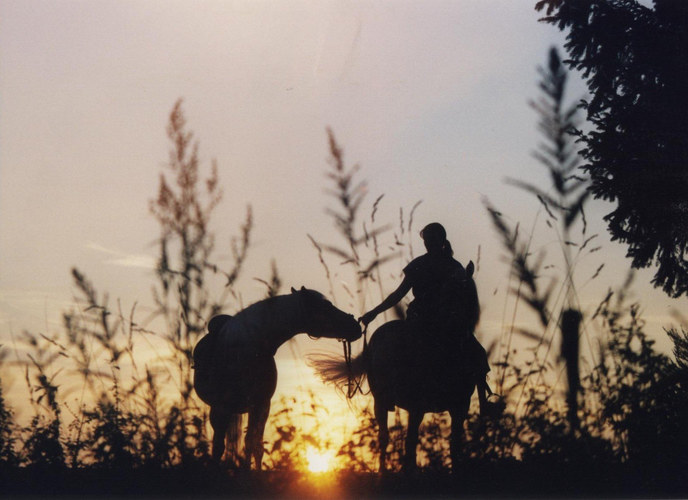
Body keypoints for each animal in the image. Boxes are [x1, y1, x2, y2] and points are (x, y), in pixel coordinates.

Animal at [191, 288, 358, 466]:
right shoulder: (221, 407)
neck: (244, 347)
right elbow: (219, 447)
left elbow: (254, 445)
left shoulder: (261, 405)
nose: (355, 325)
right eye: (325, 306)